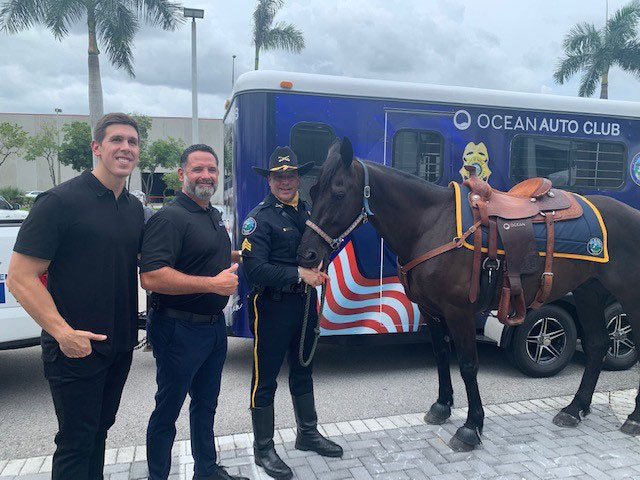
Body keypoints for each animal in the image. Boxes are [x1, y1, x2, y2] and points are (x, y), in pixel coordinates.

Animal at [298, 137, 640, 452]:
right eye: (312, 192)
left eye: (339, 194)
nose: (308, 254)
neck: (431, 225)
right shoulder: (430, 309)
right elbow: (440, 356)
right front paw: (441, 407)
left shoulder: (458, 311)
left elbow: (467, 364)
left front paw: (471, 427)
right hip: (587, 291)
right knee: (597, 344)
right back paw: (574, 409)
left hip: (628, 294)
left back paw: (632, 418)